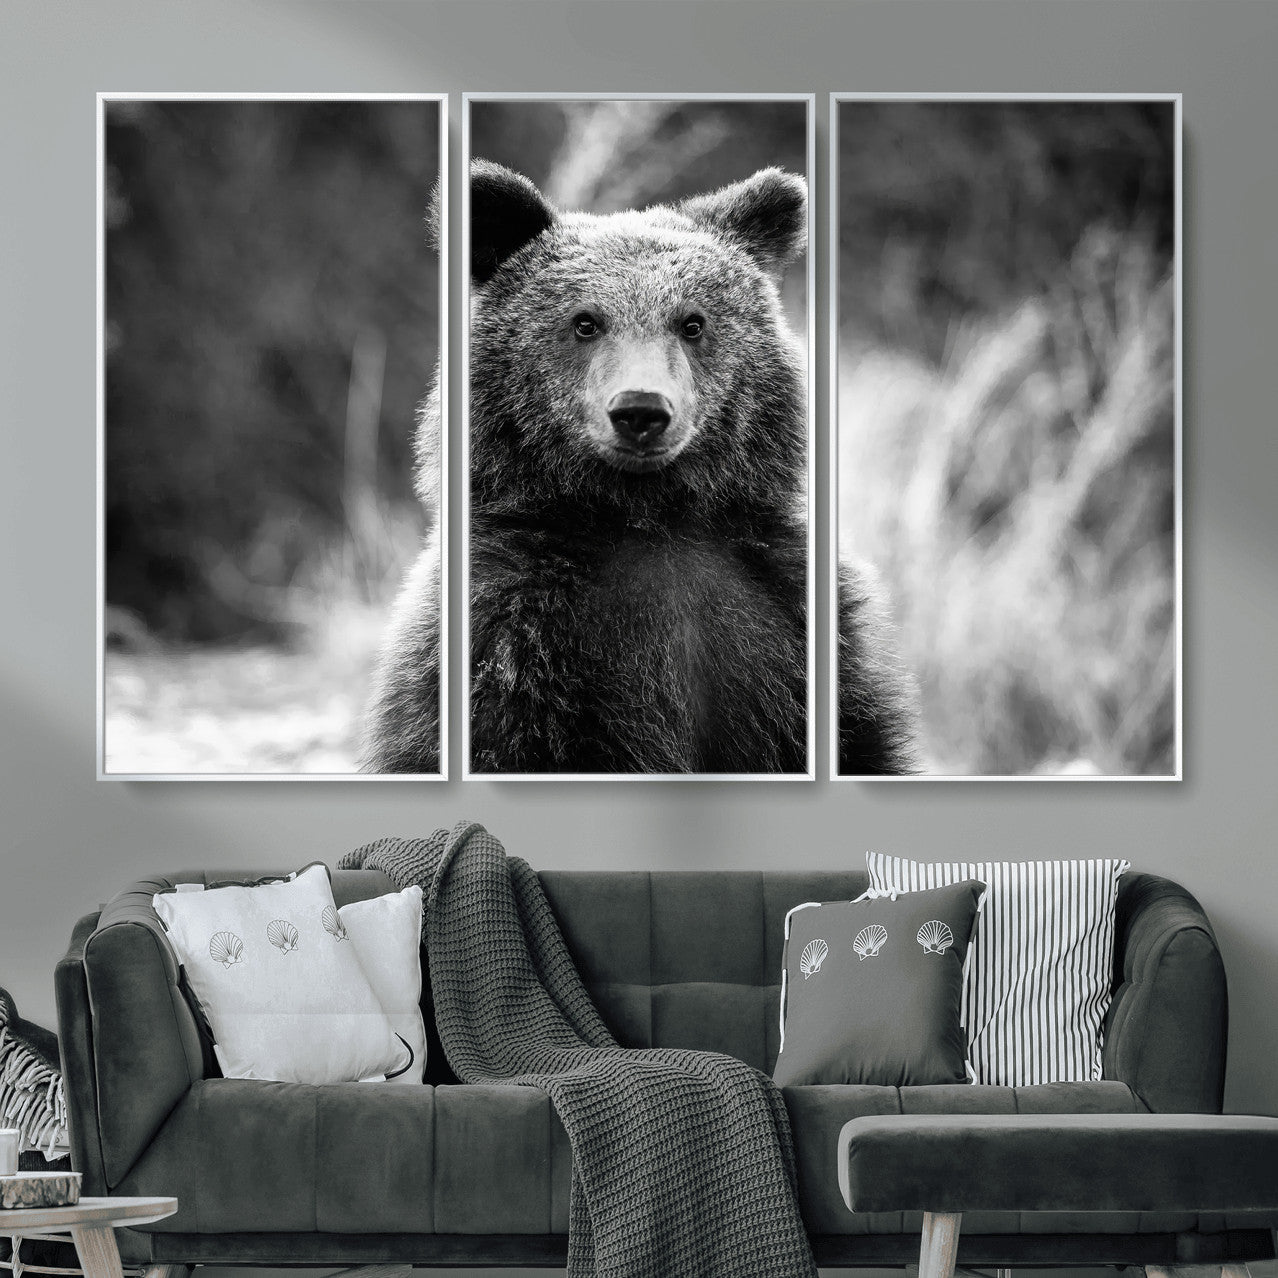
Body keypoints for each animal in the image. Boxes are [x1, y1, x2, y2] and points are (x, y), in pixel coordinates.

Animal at [362, 159, 917, 775]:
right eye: (585, 322)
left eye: (692, 322)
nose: (641, 411)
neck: (648, 516)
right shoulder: (512, 636)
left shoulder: (789, 614)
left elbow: (858, 737)